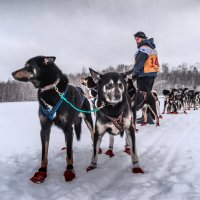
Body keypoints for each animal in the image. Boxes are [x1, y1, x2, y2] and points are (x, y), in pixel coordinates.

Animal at [11, 55, 94, 184]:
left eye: (28, 66)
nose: (12, 73)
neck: (49, 89)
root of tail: (81, 91)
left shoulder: (67, 128)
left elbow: (69, 155)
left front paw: (70, 170)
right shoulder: (44, 128)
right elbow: (44, 153)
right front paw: (42, 171)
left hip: (88, 119)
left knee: (92, 135)